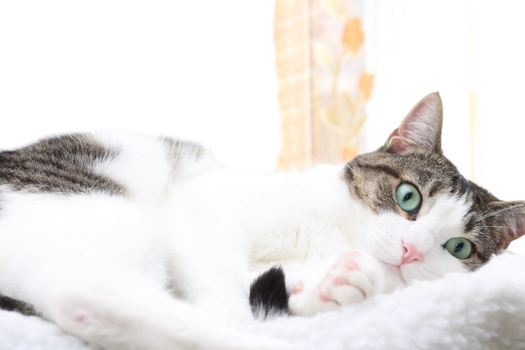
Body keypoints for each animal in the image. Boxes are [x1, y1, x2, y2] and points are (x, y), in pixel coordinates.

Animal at [0, 91, 520, 348]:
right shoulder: (204, 207)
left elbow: (271, 289)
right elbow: (225, 289)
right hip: (101, 211)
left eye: (459, 248)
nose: (412, 251)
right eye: (408, 197)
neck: (330, 239)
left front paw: (330, 288)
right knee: (90, 296)